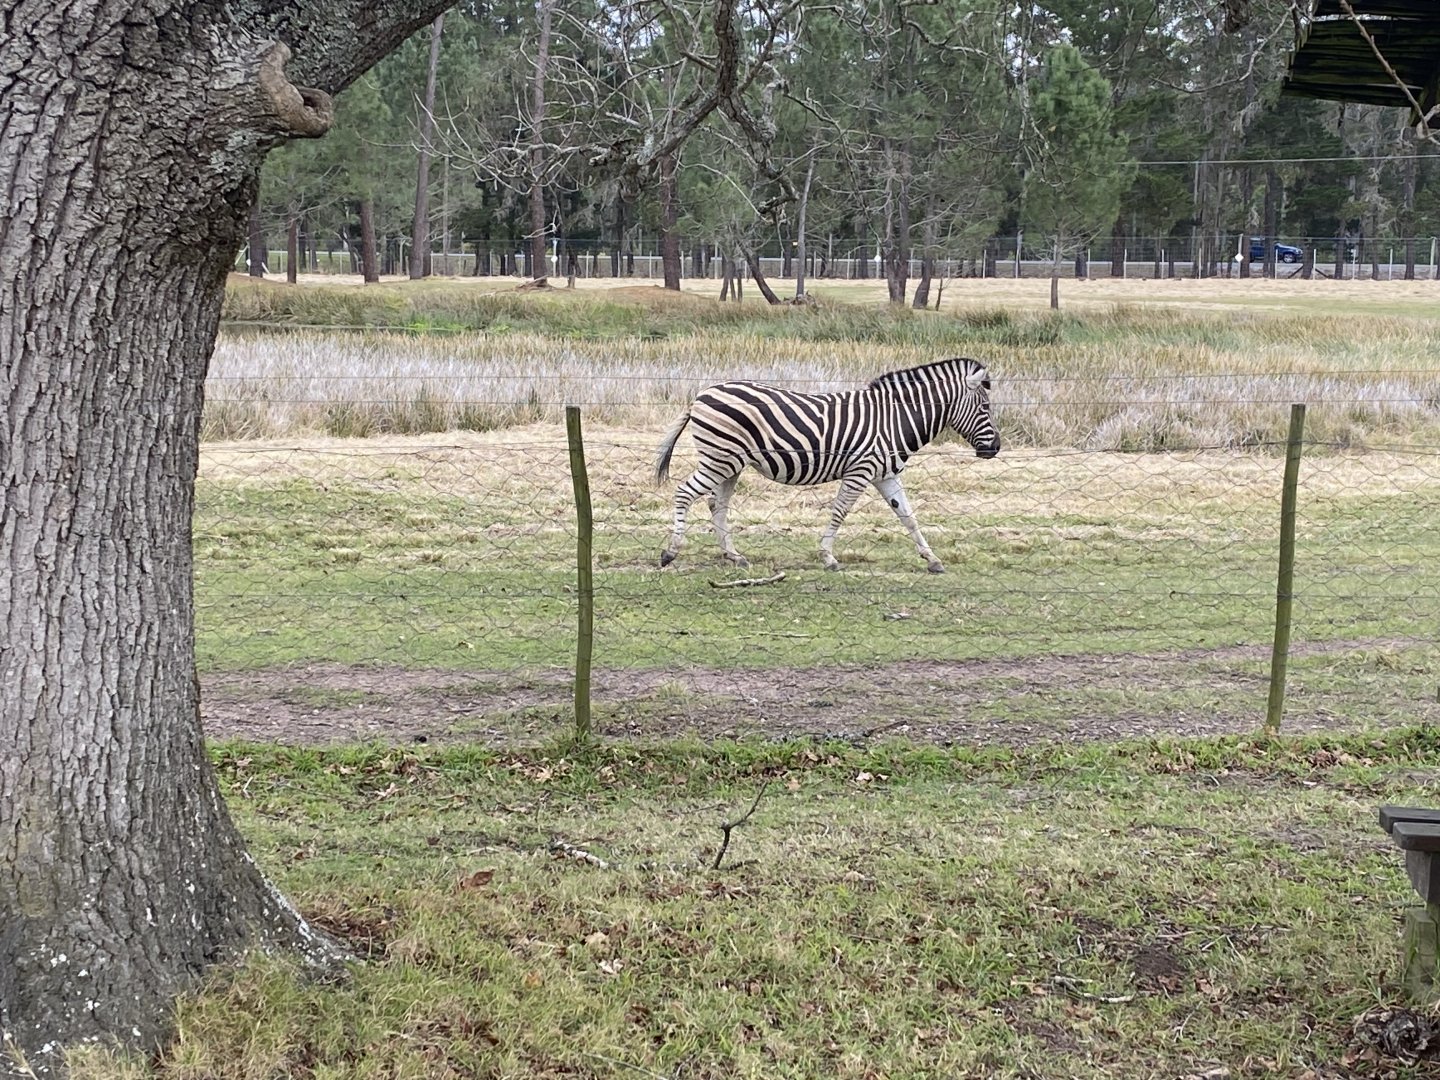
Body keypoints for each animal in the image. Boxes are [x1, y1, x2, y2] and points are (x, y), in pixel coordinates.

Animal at [654, 356, 999, 573]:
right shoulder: (861, 471)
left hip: (731, 463)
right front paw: (828, 557)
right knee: (685, 492)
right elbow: (840, 512)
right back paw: (670, 552)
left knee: (717, 504)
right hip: (720, 458)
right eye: (985, 407)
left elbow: (909, 517)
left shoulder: (886, 475)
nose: (996, 448)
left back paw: (734, 555)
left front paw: (932, 559)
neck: (894, 419)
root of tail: (701, 394)